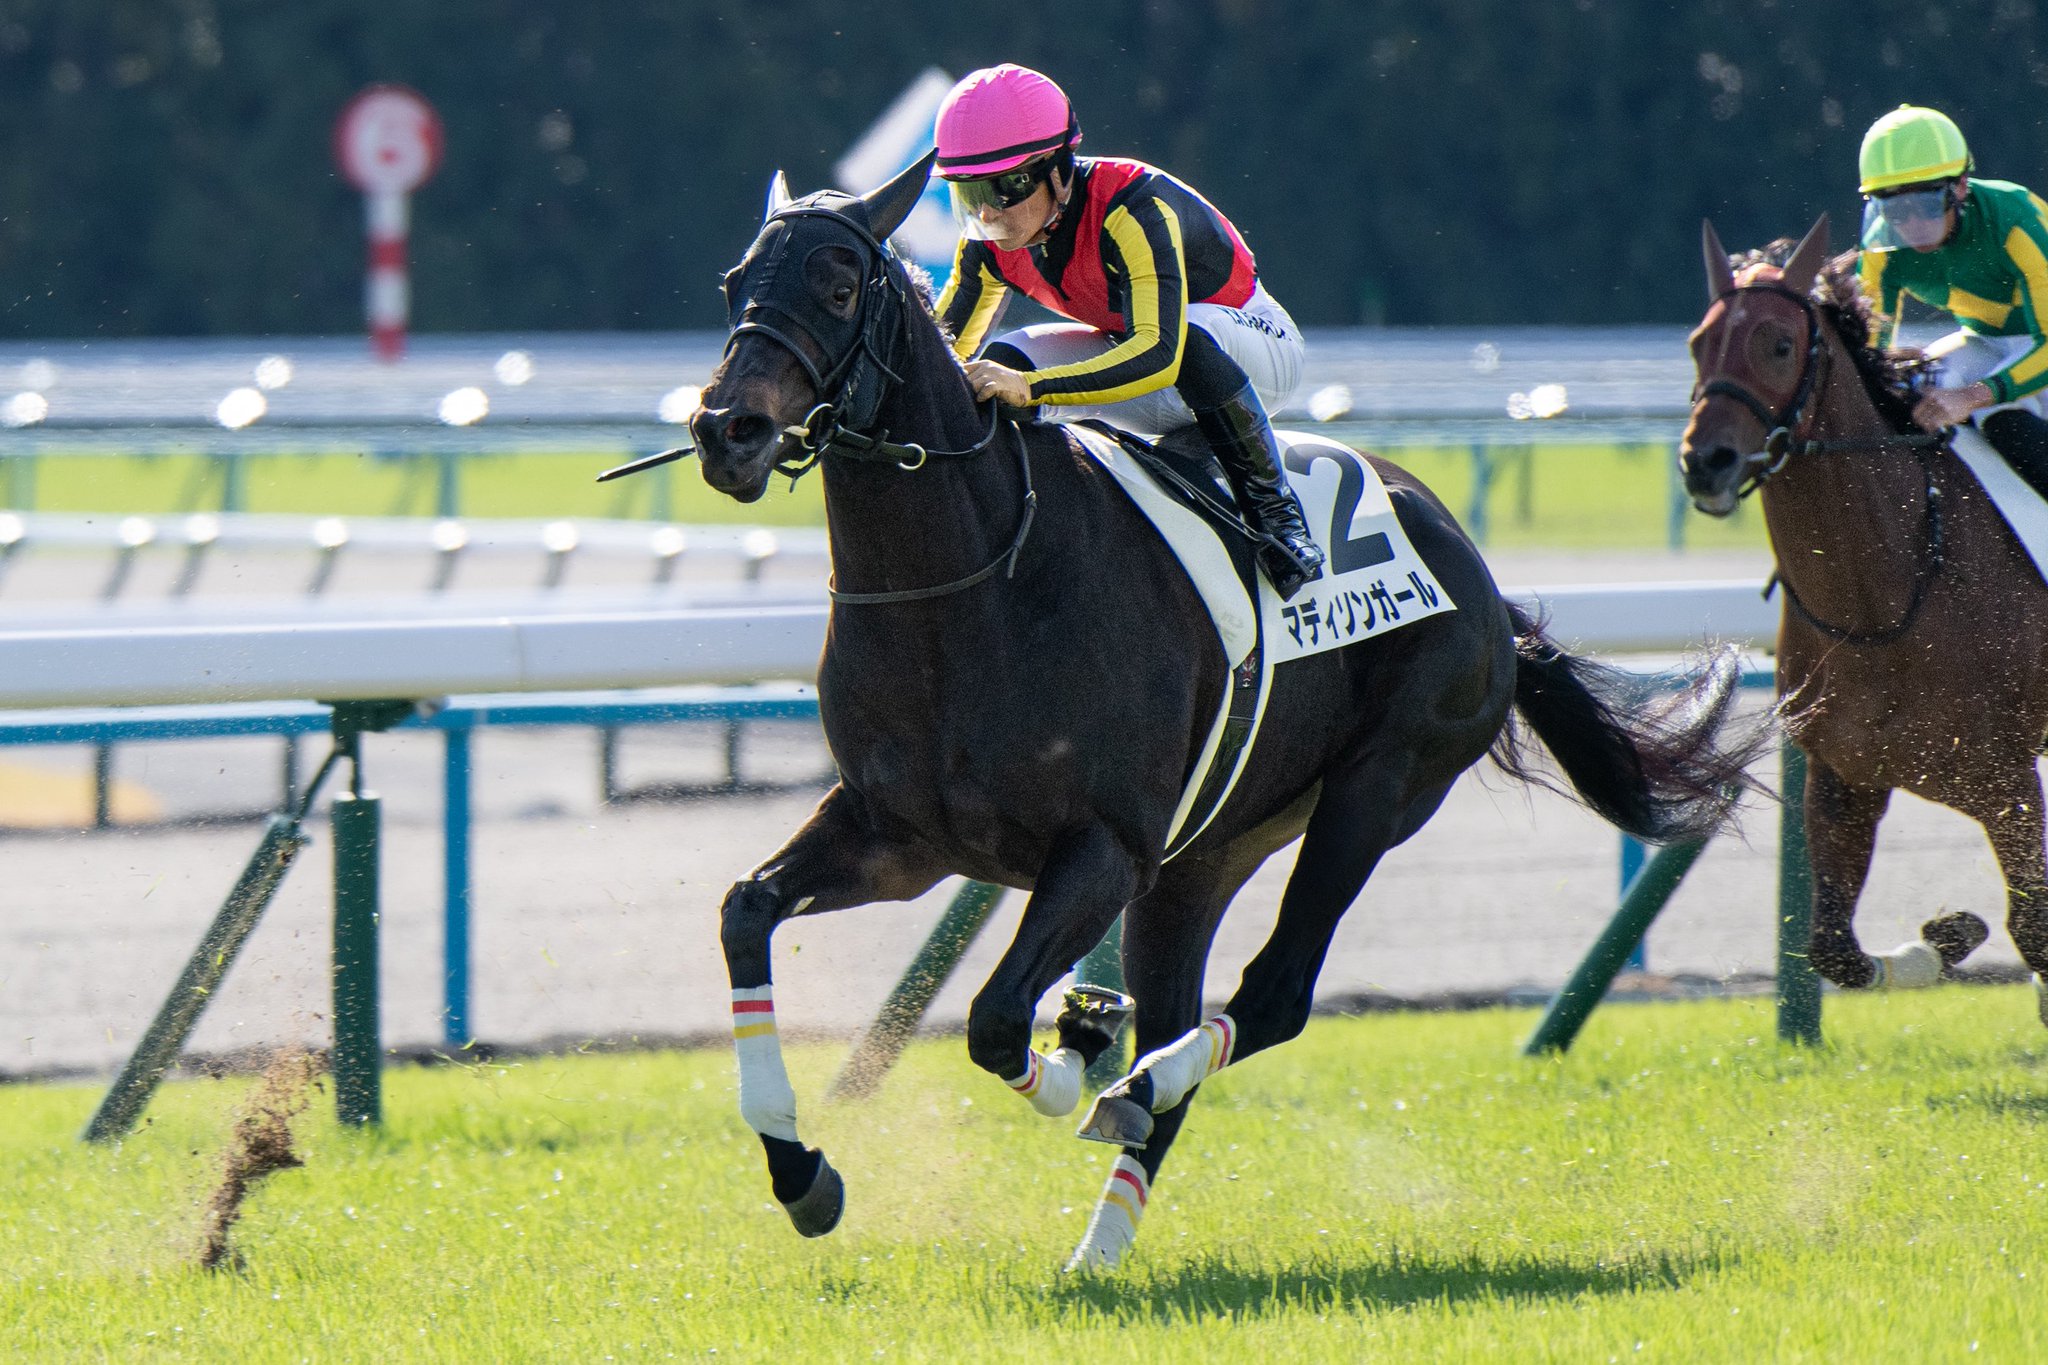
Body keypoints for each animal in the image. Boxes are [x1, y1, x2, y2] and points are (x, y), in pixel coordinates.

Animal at [688, 154, 1761, 1277]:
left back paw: (1132, 1081)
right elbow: (745, 911)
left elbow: (993, 1019)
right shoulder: (899, 836)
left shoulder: (1103, 847)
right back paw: (1099, 1242)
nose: (727, 430)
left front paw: (1076, 1046)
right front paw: (801, 1171)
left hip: (1374, 791)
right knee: (1183, 1021)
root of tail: (1477, 576)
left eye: (838, 284)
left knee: (1272, 995)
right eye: (733, 283)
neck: (972, 582)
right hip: (1205, 857)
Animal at [1679, 215, 2048, 1023]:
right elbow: (1831, 948)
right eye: (1698, 341)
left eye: (1779, 344)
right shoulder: (1843, 775)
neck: (1882, 600)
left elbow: (2034, 924)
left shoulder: (2002, 778)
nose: (1705, 462)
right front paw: (1945, 935)